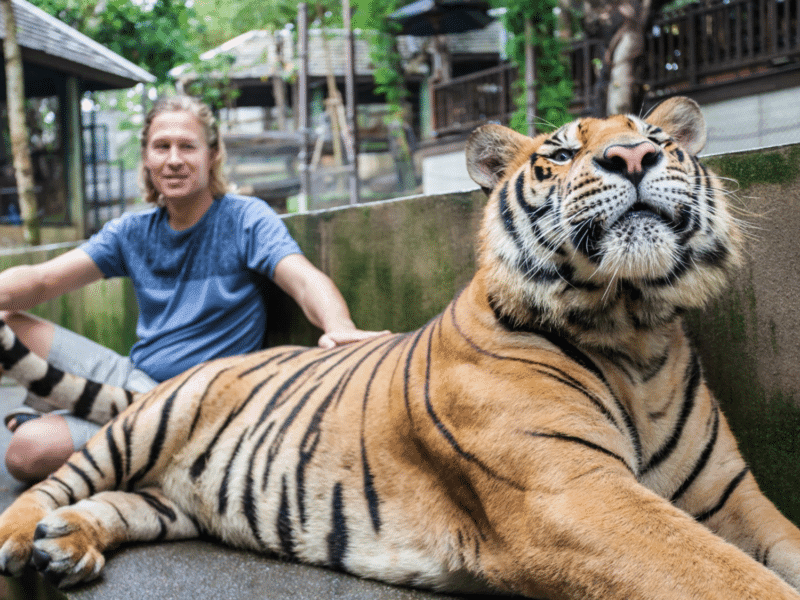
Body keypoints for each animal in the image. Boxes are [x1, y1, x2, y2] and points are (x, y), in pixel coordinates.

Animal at [1, 96, 800, 596]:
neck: (632, 329)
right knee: (56, 479)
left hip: (178, 498)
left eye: (660, 140)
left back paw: (66, 543)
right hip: (145, 425)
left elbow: (777, 547)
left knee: (121, 504)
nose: (633, 155)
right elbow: (720, 576)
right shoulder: (573, 493)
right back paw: (21, 539)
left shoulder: (730, 496)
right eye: (562, 152)